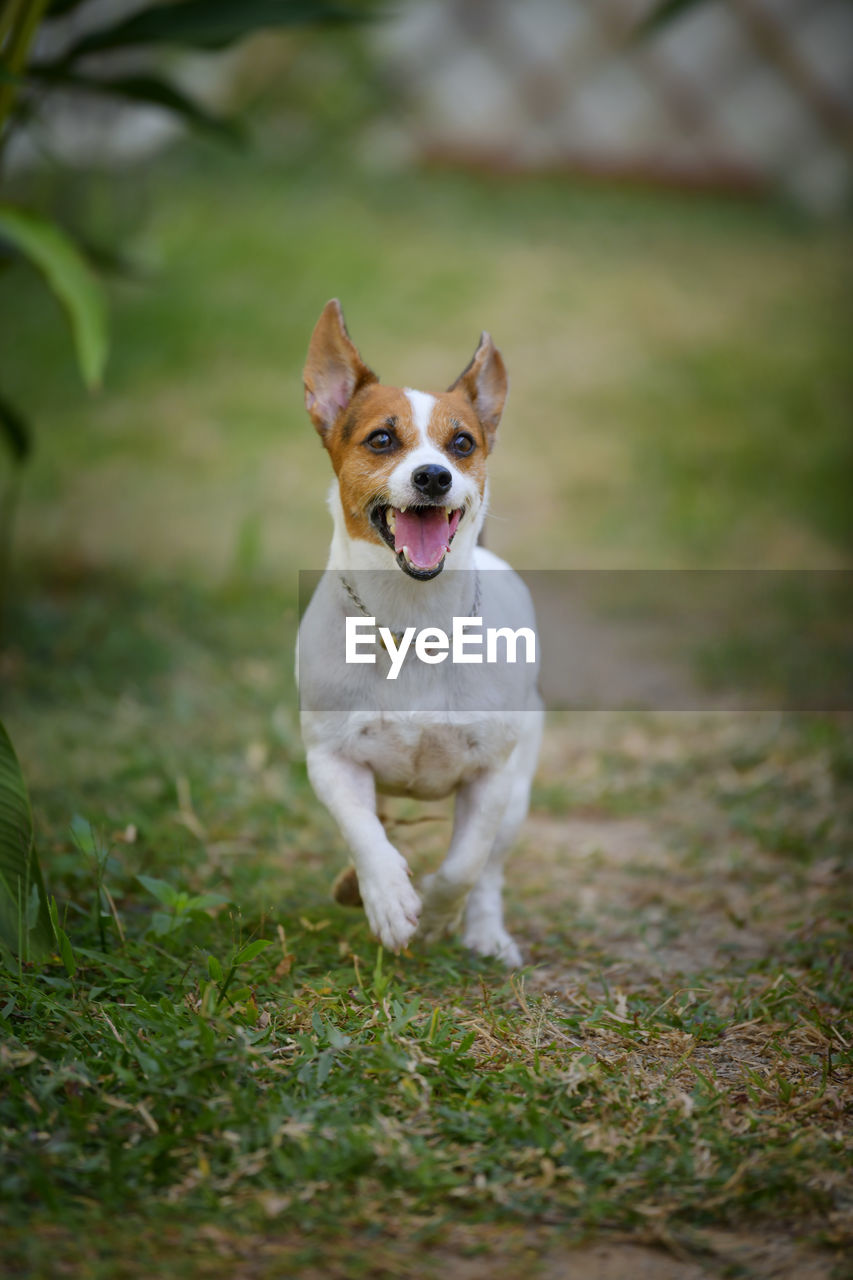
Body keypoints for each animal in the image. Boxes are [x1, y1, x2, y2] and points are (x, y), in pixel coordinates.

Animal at [295, 296, 540, 962]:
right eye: (381, 439)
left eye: (462, 443)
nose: (434, 476)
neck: (413, 620)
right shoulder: (331, 761)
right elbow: (364, 833)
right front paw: (386, 896)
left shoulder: (492, 777)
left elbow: (464, 865)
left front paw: (433, 911)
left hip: (520, 790)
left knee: (490, 870)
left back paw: (484, 931)